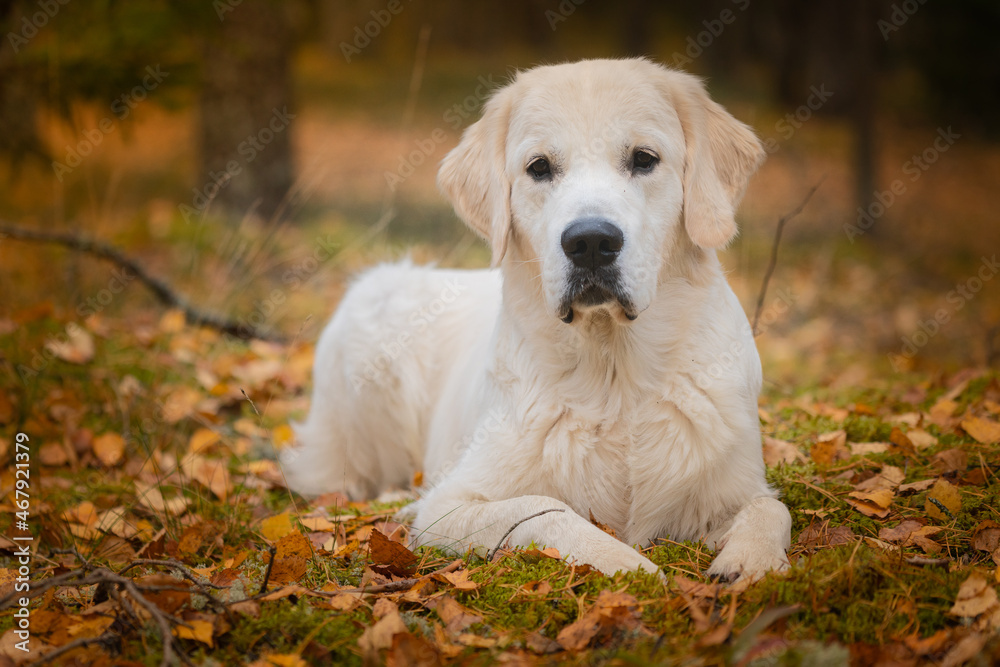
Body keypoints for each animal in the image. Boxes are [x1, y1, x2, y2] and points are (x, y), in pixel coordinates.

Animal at [286, 61, 792, 584]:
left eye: (644, 159)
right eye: (539, 168)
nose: (591, 242)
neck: (614, 375)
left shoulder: (733, 483)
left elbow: (771, 507)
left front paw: (750, 561)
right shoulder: (448, 505)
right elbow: (543, 508)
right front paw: (628, 566)